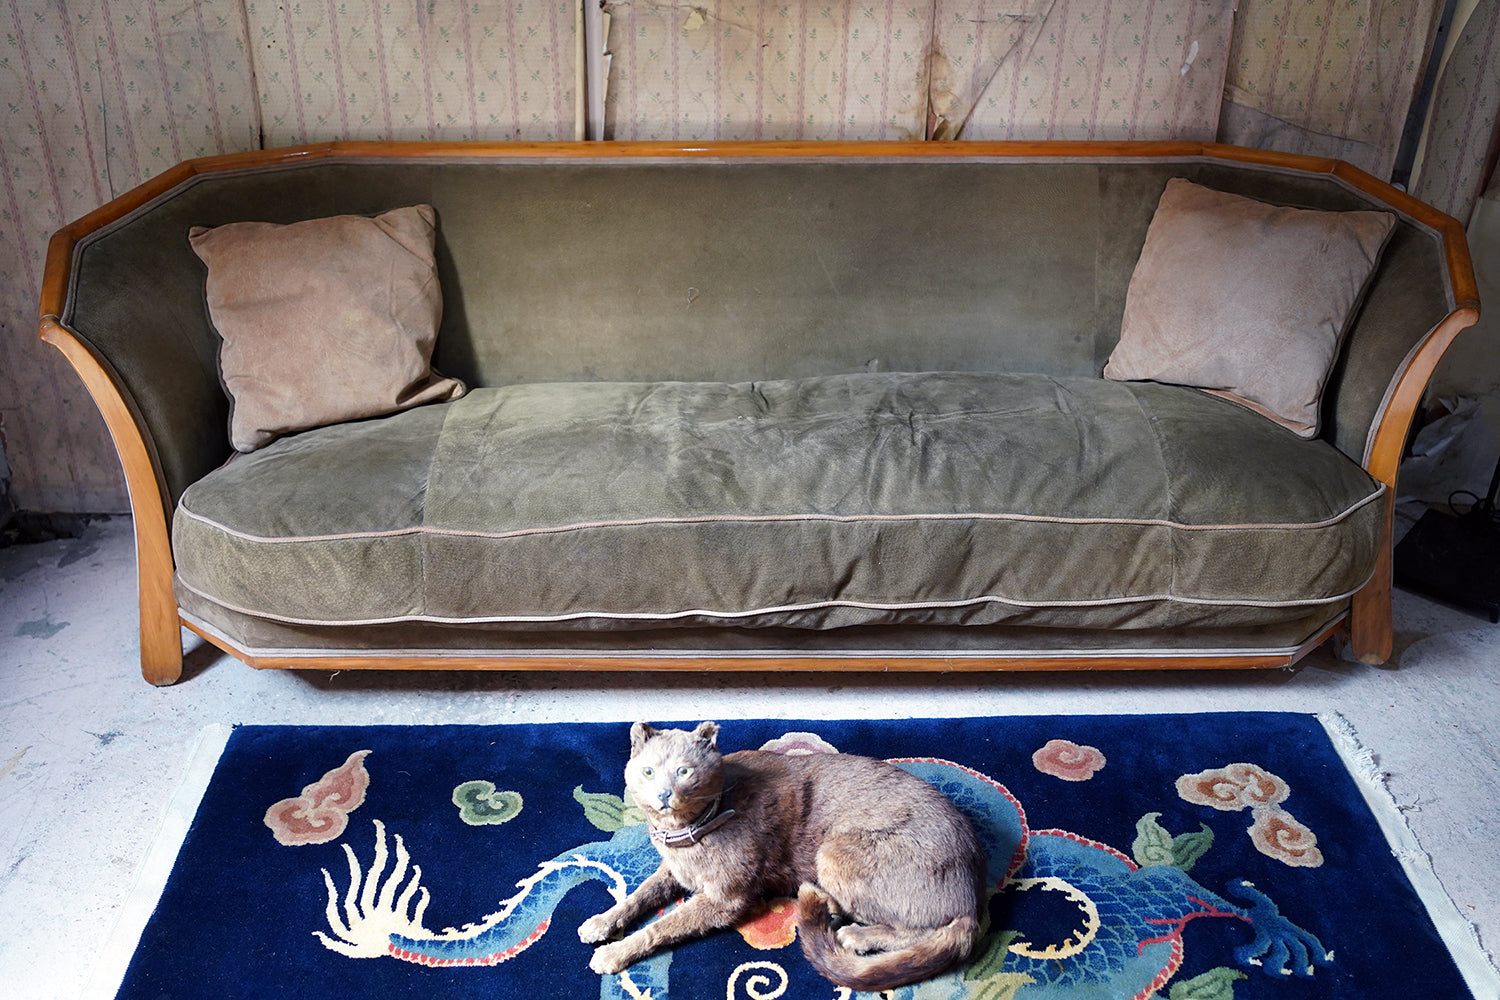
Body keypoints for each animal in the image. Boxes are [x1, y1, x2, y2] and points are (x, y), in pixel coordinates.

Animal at [578, 721, 987, 991]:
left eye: (684, 771)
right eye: (647, 772)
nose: (664, 793)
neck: (683, 835)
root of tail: (973, 897)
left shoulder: (724, 899)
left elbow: (661, 926)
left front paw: (614, 953)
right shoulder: (672, 872)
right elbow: (637, 895)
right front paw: (600, 922)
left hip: (834, 853)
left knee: (919, 931)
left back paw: (855, 934)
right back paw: (833, 909)